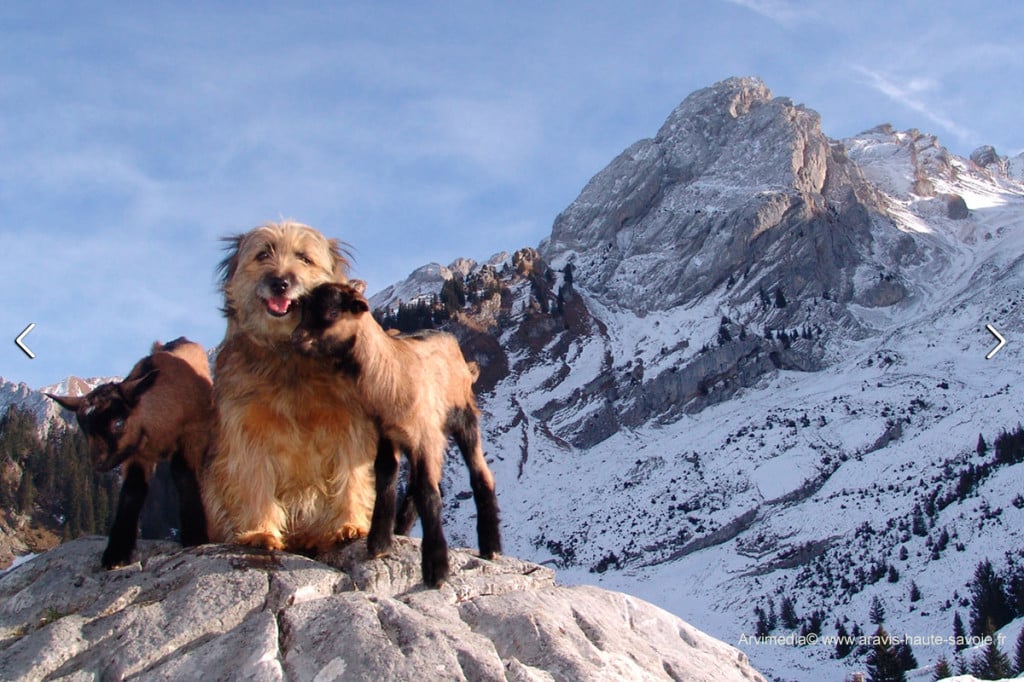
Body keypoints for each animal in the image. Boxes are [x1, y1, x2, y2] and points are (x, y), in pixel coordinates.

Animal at [201, 220, 378, 548]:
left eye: (304, 258)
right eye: (262, 254)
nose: (280, 282)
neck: (289, 353)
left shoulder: (350, 424)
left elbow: (351, 477)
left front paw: (350, 524)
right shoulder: (247, 430)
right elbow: (255, 480)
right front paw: (260, 531)